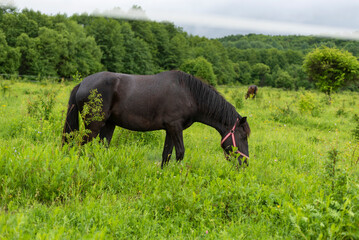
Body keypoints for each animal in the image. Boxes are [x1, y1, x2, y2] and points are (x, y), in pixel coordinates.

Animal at [64, 70, 250, 168]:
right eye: (243, 136)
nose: (245, 163)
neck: (189, 94)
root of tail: (82, 83)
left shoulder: (170, 130)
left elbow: (166, 154)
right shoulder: (175, 127)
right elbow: (180, 153)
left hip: (109, 125)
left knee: (100, 148)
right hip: (93, 126)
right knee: (80, 147)